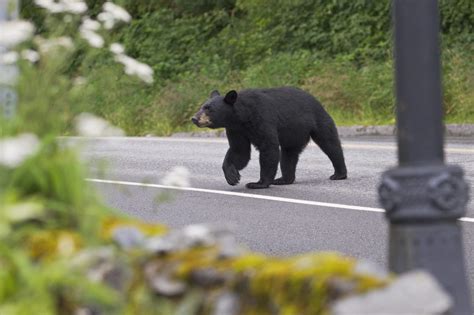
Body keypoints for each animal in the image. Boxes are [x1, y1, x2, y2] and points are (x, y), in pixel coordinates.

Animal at [191, 87, 346, 189]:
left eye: (209, 109)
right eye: (202, 107)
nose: (194, 118)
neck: (242, 116)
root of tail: (317, 101)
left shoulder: (262, 118)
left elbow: (268, 147)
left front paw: (258, 183)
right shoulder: (236, 130)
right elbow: (239, 151)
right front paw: (232, 176)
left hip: (319, 120)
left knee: (330, 144)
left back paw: (339, 174)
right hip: (293, 134)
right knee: (289, 155)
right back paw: (284, 179)